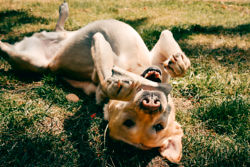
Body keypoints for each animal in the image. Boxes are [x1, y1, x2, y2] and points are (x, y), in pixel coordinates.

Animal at [0, 1, 189, 163]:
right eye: (129, 122)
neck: (138, 71)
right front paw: (179, 63)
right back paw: (63, 10)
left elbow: (104, 77)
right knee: (60, 28)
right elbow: (167, 36)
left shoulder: (99, 48)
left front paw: (113, 87)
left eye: (158, 126)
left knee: (6, 48)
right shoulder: (155, 56)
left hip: (32, 62)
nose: (151, 103)